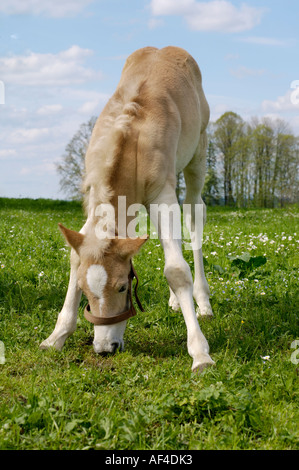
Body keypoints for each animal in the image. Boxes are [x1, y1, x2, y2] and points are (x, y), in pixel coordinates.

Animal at [41, 46, 216, 370]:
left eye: (123, 287)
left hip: (198, 156)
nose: (104, 348)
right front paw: (56, 336)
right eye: (84, 289)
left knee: (193, 217)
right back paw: (175, 301)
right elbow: (75, 257)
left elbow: (176, 269)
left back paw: (203, 302)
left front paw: (200, 353)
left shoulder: (162, 194)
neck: (132, 136)